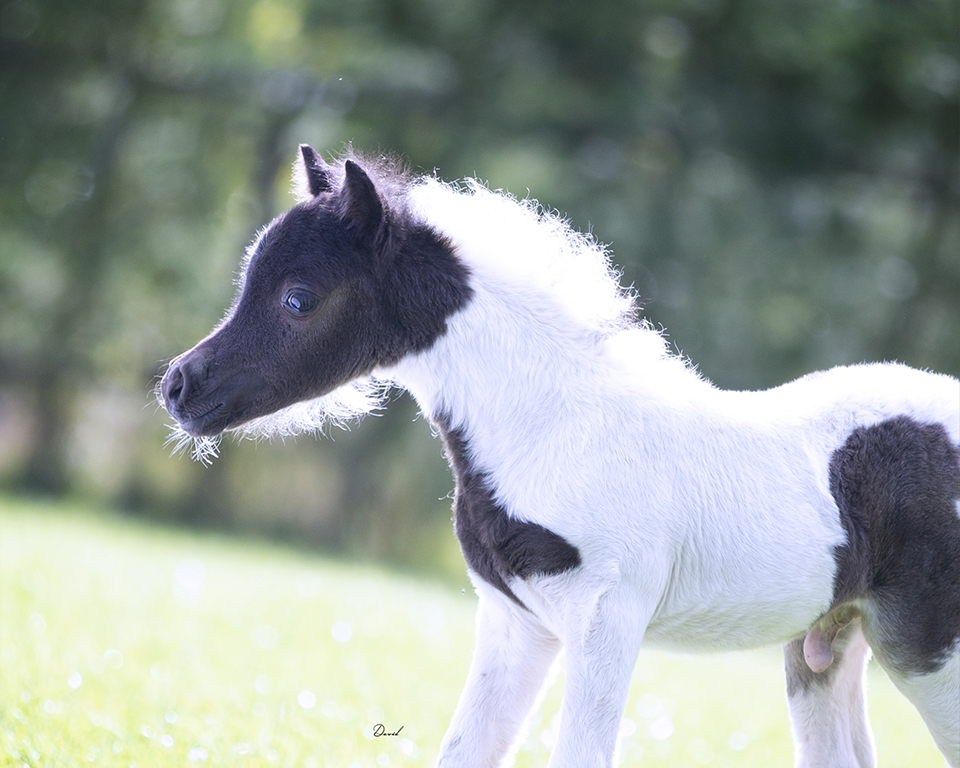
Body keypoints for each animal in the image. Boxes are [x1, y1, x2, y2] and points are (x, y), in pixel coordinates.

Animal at [160, 145, 960, 768]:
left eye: (298, 298)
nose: (177, 387)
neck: (552, 424)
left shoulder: (607, 618)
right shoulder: (516, 623)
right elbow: (465, 750)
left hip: (929, 655)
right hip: (824, 649)